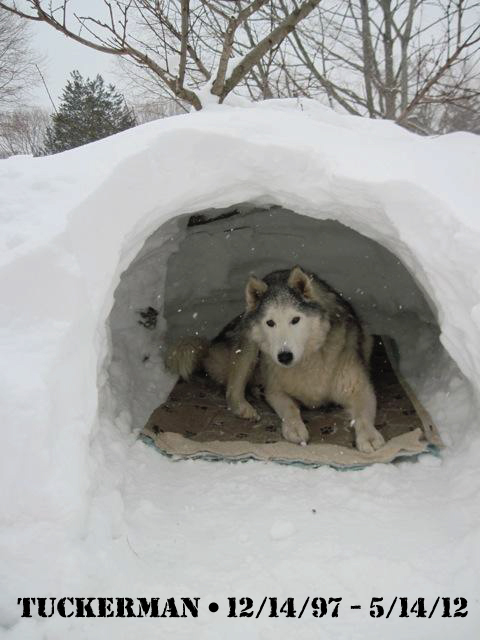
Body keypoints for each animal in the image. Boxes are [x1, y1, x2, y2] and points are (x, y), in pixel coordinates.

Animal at [167, 268, 384, 452]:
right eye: (270, 323)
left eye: (295, 319)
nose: (284, 356)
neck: (307, 360)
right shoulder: (275, 391)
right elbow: (290, 408)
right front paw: (294, 428)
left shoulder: (360, 389)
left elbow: (363, 416)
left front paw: (369, 436)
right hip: (249, 347)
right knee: (232, 388)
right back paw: (244, 406)